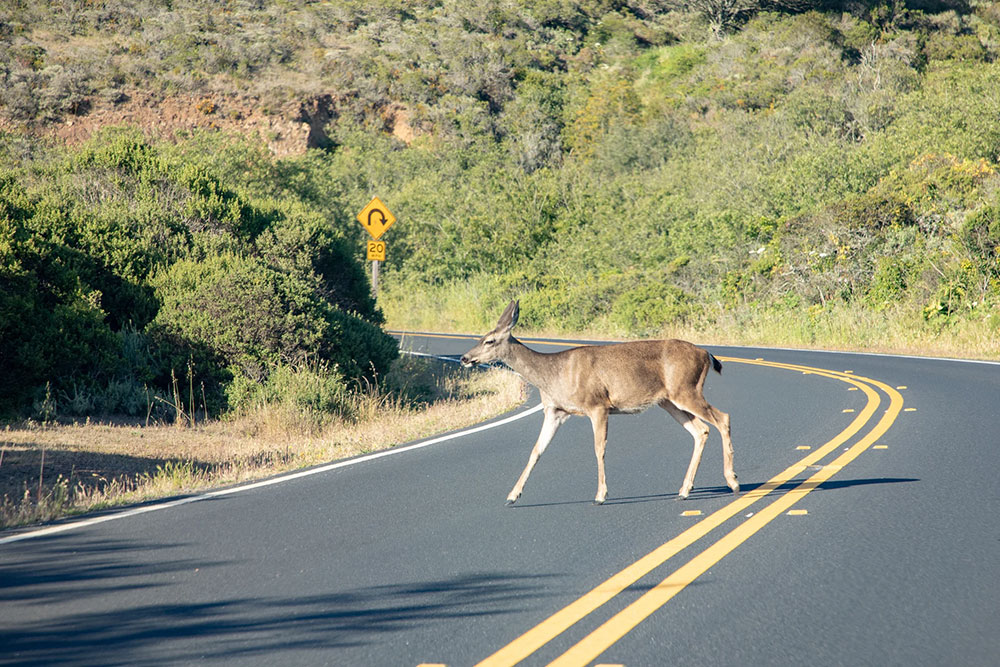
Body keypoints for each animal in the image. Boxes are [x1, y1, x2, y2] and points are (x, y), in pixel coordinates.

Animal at [458, 300, 736, 504]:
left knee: (722, 418)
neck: (552, 375)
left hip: (686, 390)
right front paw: (512, 496)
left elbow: (599, 448)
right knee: (701, 430)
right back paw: (684, 490)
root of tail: (706, 353)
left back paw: (732, 480)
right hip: (669, 401)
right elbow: (536, 450)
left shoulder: (597, 405)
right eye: (480, 337)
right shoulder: (555, 411)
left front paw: (601, 495)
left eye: (489, 340)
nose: (464, 358)